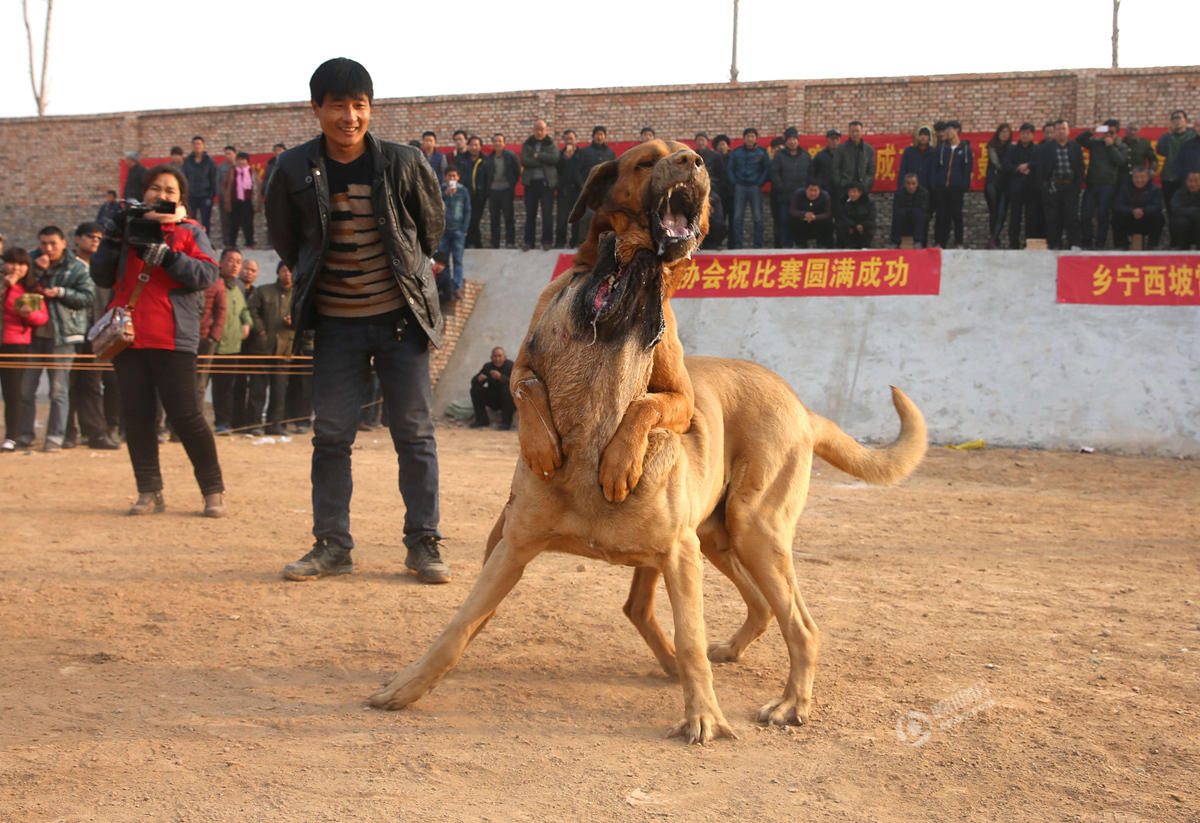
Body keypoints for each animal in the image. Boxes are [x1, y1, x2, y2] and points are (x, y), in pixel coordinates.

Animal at [367, 226, 926, 748]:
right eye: (576, 273)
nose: (622, 235)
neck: (596, 428)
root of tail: (801, 406)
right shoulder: (513, 548)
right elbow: (458, 626)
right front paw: (405, 687)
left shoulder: (678, 554)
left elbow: (692, 639)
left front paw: (704, 717)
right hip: (718, 537)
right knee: (739, 606)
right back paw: (724, 656)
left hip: (750, 529)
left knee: (801, 627)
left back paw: (789, 704)